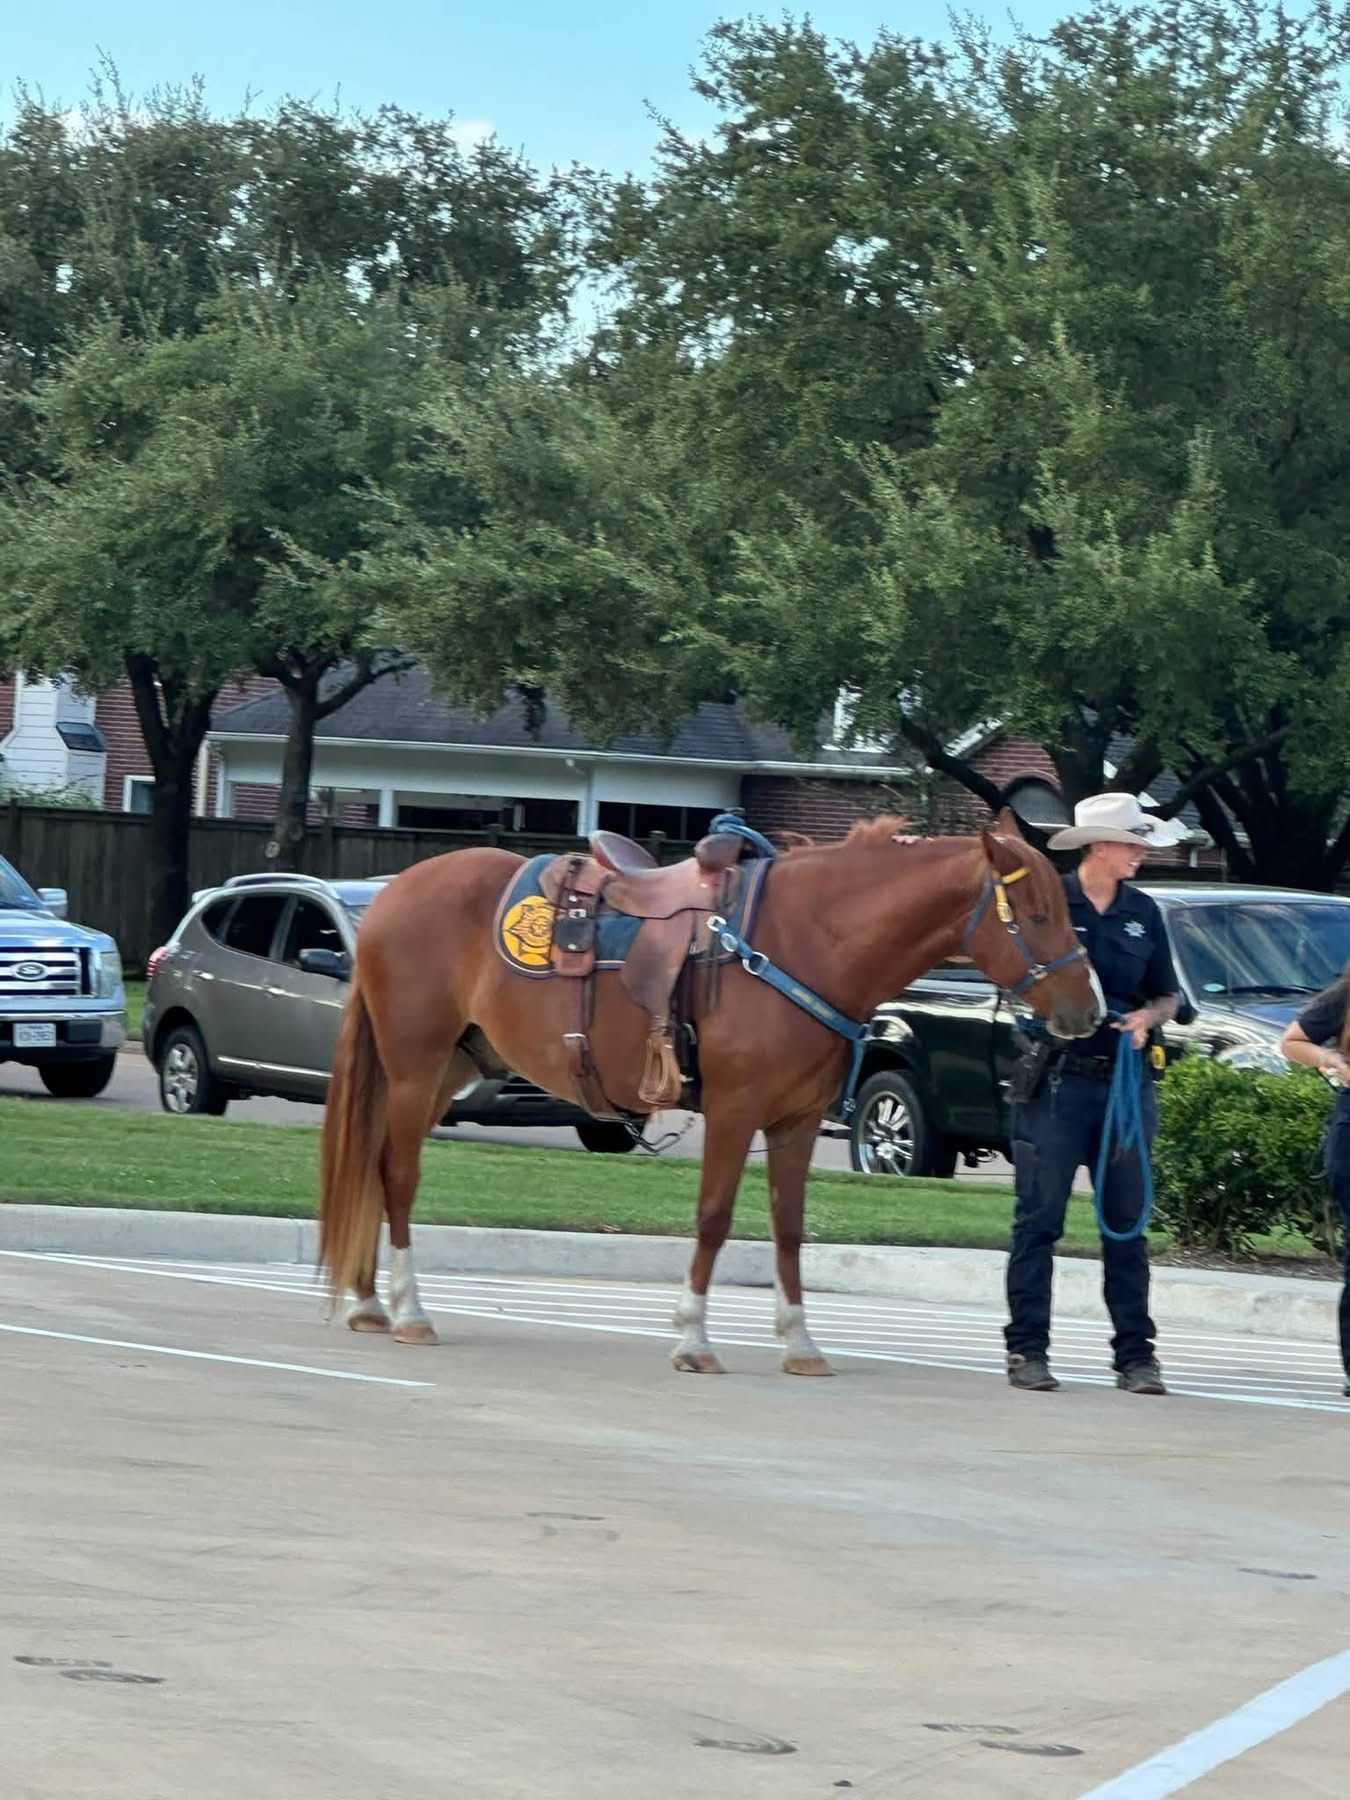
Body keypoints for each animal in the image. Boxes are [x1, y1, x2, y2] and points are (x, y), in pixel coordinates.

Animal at [317, 809, 1102, 1373]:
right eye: (1037, 913)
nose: (1087, 1011)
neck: (802, 942)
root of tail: (392, 894)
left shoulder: (794, 1120)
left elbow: (788, 1227)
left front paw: (800, 1344)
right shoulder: (734, 1109)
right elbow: (716, 1217)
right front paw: (693, 1339)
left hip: (446, 1065)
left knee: (376, 1165)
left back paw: (368, 1304)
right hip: (416, 1065)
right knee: (398, 1175)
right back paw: (410, 1311)